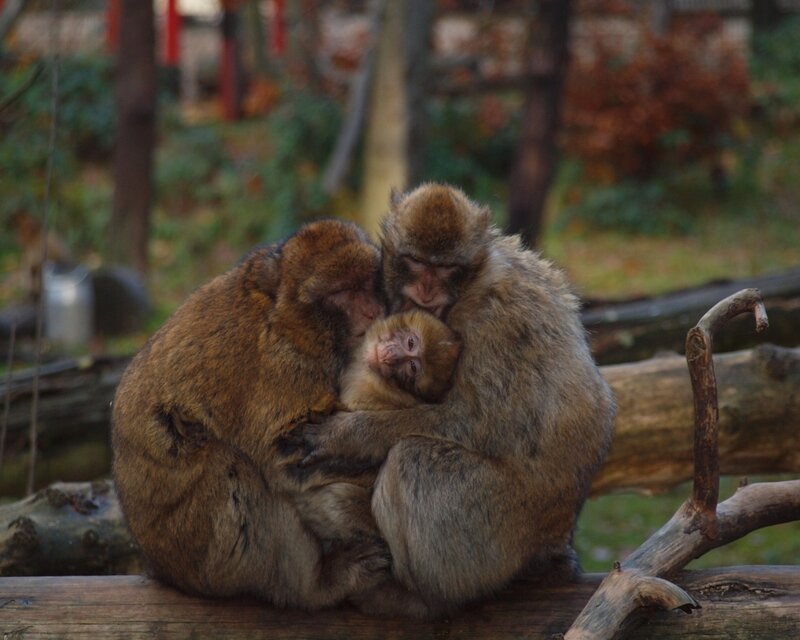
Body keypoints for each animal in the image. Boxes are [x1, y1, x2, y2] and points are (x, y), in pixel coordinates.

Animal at [111, 219, 391, 610]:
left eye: (366, 282)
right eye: (341, 293)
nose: (370, 311)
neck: (287, 318)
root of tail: (161, 569)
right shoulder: (281, 364)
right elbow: (284, 453)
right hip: (200, 558)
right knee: (231, 468)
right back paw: (316, 585)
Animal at [286, 183, 616, 618]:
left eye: (445, 269)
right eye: (414, 261)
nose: (426, 290)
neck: (470, 289)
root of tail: (555, 543)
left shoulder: (499, 318)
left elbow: (481, 422)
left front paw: (348, 437)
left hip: (495, 530)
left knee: (413, 461)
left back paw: (423, 600)